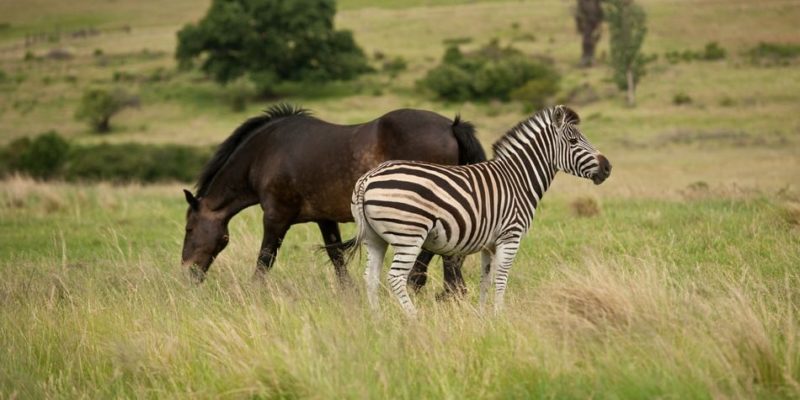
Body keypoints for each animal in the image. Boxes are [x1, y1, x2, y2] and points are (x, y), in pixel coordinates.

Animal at [181, 103, 484, 290]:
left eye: (189, 229)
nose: (187, 272)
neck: (265, 153)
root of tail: (451, 126)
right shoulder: (324, 219)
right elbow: (336, 256)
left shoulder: (276, 218)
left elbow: (265, 259)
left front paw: (254, 291)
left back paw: (423, 285)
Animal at [350, 105, 612, 316]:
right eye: (573, 142)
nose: (607, 168)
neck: (519, 180)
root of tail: (368, 178)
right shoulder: (510, 236)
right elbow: (502, 278)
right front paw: (499, 315)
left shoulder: (489, 243)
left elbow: (485, 280)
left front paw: (483, 316)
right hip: (409, 236)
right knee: (395, 278)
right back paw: (413, 318)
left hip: (375, 238)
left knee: (370, 277)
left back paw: (378, 320)